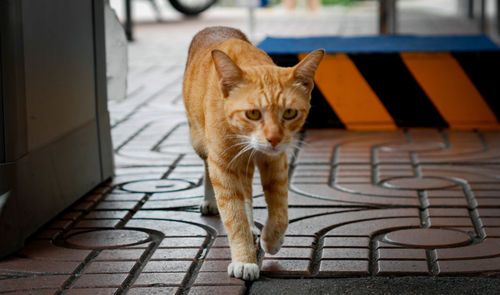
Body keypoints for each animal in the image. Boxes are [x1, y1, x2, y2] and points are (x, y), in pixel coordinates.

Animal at [184, 26, 324, 280]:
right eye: (253, 114)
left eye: (289, 113)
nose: (274, 138)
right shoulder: (222, 164)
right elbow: (233, 215)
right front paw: (244, 260)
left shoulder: (275, 161)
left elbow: (280, 209)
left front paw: (272, 239)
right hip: (200, 142)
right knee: (209, 170)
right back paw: (210, 201)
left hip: (246, 163)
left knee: (247, 193)